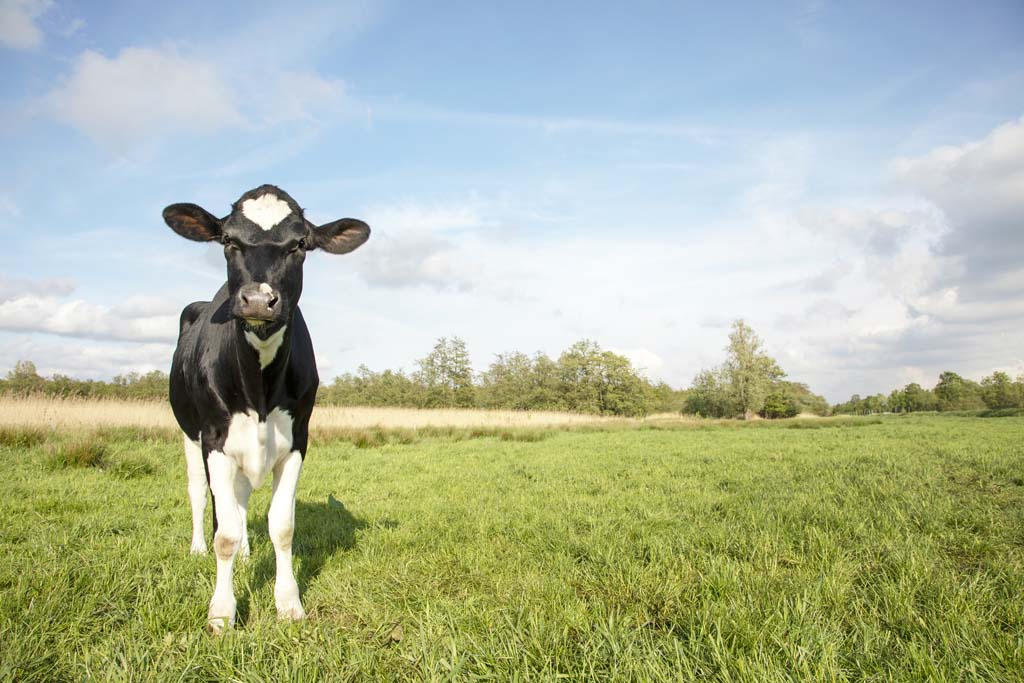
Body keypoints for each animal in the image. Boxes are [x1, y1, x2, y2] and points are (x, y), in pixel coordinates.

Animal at [162, 184, 369, 633]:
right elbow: (223, 531)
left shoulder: (297, 440)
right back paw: (199, 548)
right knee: (200, 494)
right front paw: (221, 612)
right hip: (188, 433)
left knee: (239, 501)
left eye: (301, 244)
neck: (259, 390)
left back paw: (244, 553)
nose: (258, 300)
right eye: (228, 240)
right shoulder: (215, 439)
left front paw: (288, 603)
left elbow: (283, 526)